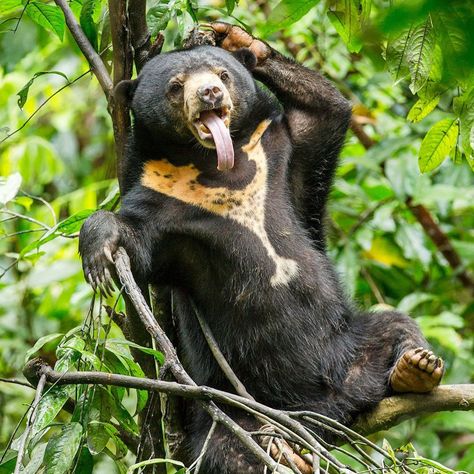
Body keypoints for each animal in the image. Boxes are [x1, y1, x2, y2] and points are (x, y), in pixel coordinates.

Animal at [78, 22, 444, 474]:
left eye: (222, 74)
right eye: (176, 86)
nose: (210, 93)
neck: (215, 163)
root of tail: (320, 409)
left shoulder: (277, 151)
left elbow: (324, 115)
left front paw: (234, 37)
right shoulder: (158, 196)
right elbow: (138, 238)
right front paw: (99, 252)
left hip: (345, 347)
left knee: (394, 324)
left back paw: (416, 367)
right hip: (231, 403)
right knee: (227, 450)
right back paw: (282, 451)